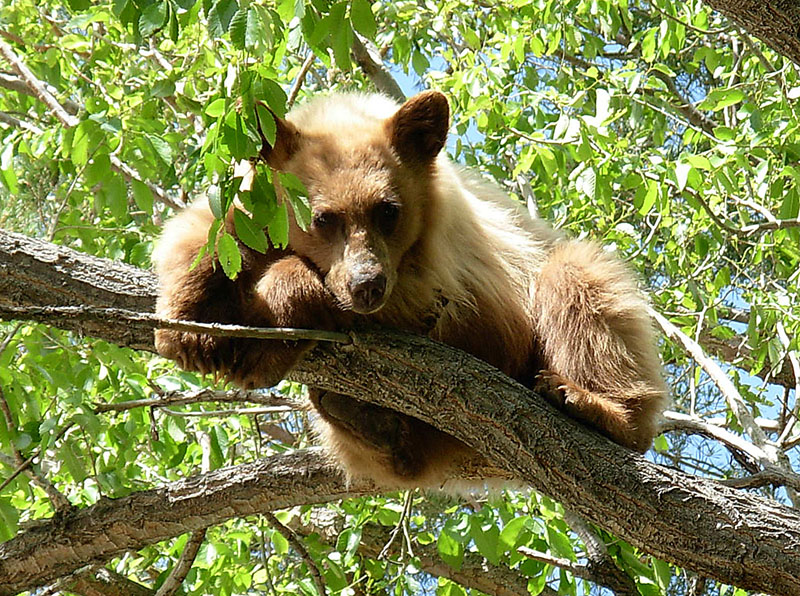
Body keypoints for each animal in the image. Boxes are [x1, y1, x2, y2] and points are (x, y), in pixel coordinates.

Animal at [152, 90, 667, 488]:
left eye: (388, 210)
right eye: (323, 218)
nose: (366, 285)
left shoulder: (443, 270)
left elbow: (412, 306)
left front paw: (265, 344)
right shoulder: (252, 203)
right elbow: (202, 230)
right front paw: (188, 330)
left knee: (580, 284)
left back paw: (592, 404)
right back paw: (367, 421)